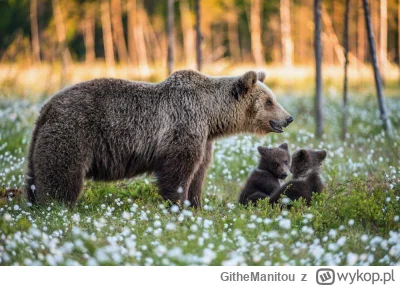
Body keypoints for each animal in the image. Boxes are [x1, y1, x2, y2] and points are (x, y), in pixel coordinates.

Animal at [25, 70, 294, 208]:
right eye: (269, 101)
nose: (288, 118)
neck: (212, 116)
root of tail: (47, 106)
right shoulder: (183, 124)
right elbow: (178, 169)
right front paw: (179, 204)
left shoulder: (204, 137)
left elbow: (198, 171)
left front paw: (196, 204)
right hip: (74, 132)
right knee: (62, 173)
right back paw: (57, 205)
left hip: (40, 141)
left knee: (35, 174)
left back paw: (34, 202)